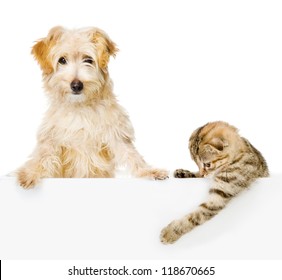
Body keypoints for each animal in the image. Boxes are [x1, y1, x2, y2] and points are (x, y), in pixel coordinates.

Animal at [17, 26, 167, 188]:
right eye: (62, 60)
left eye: (88, 59)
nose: (76, 85)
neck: (80, 108)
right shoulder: (52, 138)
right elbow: (42, 156)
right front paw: (28, 173)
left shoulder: (116, 135)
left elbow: (132, 155)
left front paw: (150, 172)